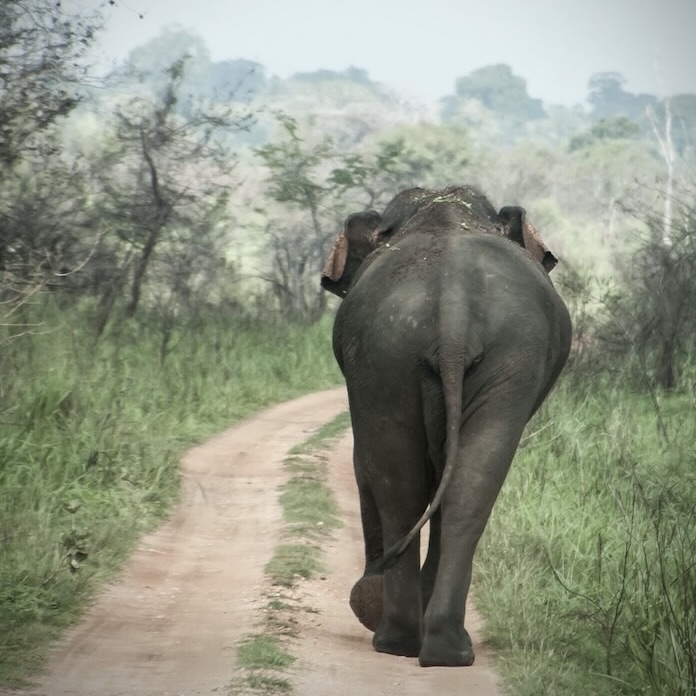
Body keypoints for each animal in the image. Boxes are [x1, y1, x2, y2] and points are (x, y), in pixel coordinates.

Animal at [320, 185, 572, 667]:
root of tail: (453, 314)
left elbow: (368, 463)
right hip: (437, 355)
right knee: (455, 487)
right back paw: (430, 645)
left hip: (398, 355)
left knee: (407, 482)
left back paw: (406, 639)